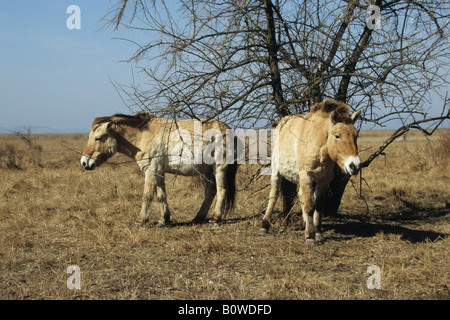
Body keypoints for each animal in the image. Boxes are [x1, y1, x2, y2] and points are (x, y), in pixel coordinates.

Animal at [80, 112, 239, 228]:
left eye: (98, 138)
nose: (84, 162)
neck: (143, 135)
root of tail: (229, 130)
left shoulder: (150, 170)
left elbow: (147, 195)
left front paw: (140, 220)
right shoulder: (159, 172)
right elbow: (161, 195)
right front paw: (163, 220)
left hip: (218, 168)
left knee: (221, 190)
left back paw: (215, 218)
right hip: (207, 172)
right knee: (210, 193)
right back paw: (198, 217)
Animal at [258, 99, 360, 244]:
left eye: (356, 135)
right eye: (337, 136)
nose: (354, 165)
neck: (316, 142)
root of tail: (281, 123)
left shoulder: (323, 180)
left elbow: (318, 205)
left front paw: (317, 232)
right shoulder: (306, 176)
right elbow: (310, 206)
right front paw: (310, 236)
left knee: (302, 197)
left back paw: (306, 223)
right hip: (277, 172)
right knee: (273, 196)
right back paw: (264, 226)